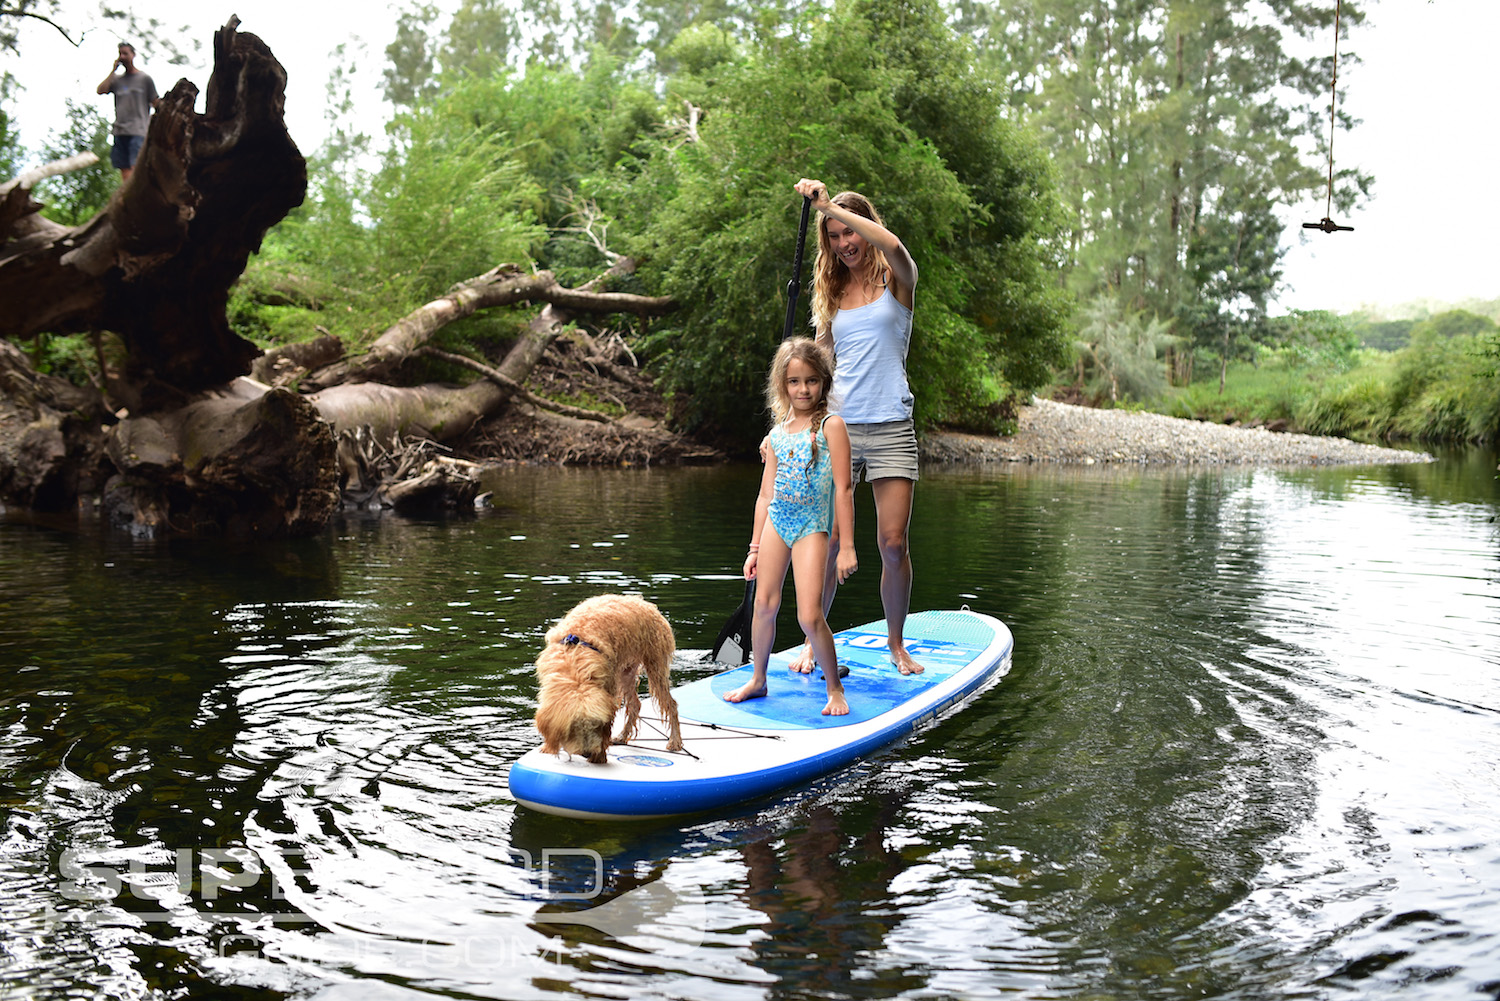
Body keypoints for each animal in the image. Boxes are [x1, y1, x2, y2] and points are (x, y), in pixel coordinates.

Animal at [534, 591, 687, 762]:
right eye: (573, 728)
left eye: (595, 725)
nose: (587, 753)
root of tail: (646, 604)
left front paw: (599, 756)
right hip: (625, 672)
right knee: (635, 704)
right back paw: (622, 736)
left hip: (655, 667)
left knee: (671, 704)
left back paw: (675, 741)